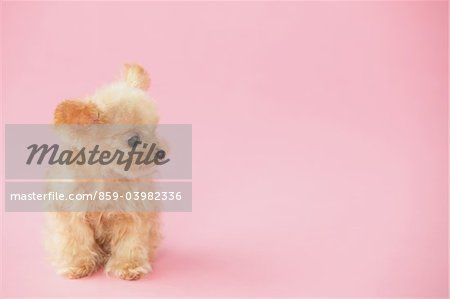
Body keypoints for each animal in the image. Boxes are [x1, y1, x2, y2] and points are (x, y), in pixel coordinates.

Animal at [44, 63, 163, 282]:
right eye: (133, 141)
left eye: (154, 131)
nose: (161, 152)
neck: (105, 176)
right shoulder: (72, 216)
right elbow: (77, 242)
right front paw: (78, 266)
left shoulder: (133, 215)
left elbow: (129, 244)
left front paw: (128, 267)